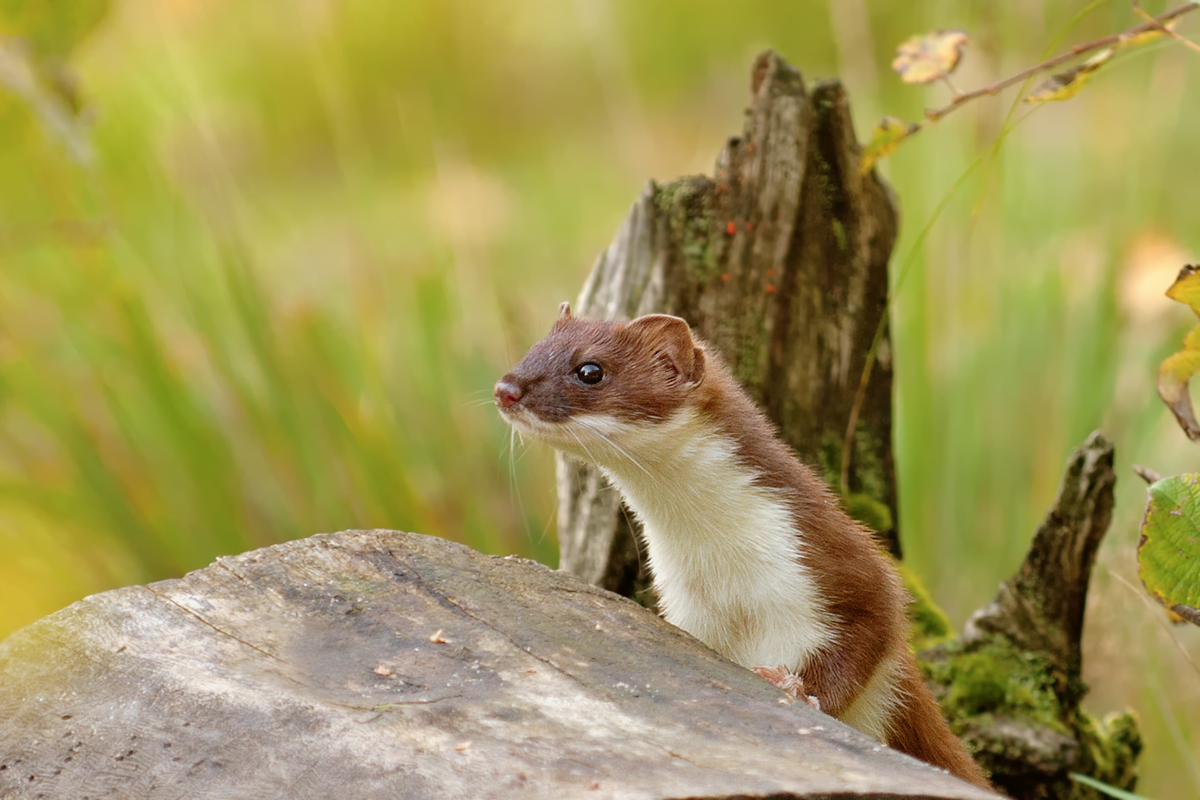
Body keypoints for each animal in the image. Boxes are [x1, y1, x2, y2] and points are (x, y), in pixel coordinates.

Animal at [492, 307, 988, 786]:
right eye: (535, 348)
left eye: (590, 370)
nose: (505, 389)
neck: (720, 568)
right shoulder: (688, 608)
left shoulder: (835, 563)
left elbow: (870, 631)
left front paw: (795, 689)